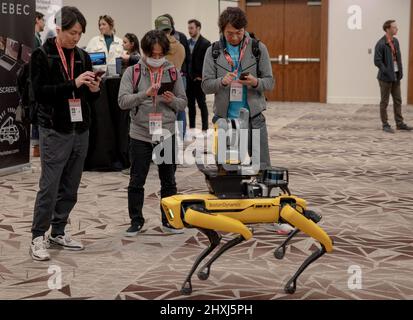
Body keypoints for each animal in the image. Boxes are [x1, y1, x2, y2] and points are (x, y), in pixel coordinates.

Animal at [159, 109, 334, 294]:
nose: (167, 207)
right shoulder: (199, 213)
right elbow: (232, 235)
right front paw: (196, 277)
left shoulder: (286, 206)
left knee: (311, 222)